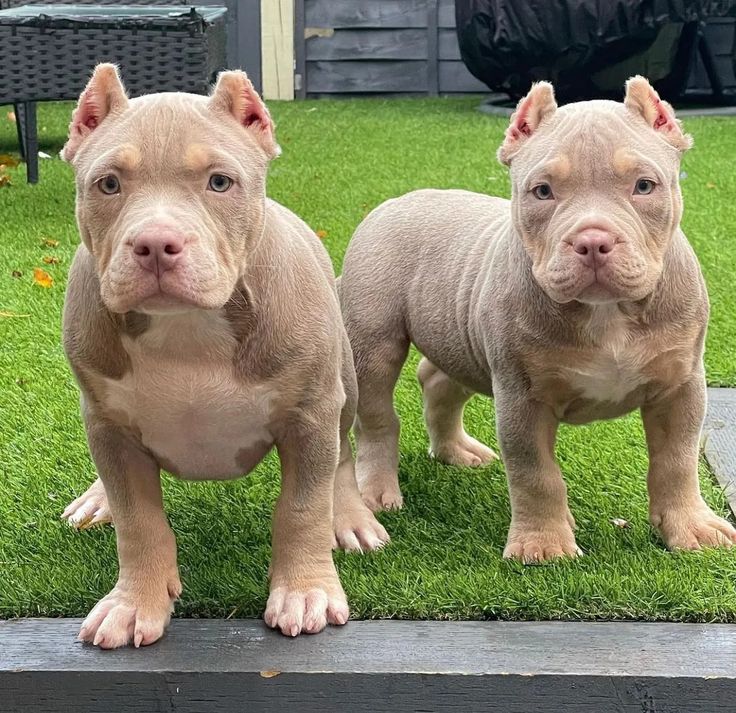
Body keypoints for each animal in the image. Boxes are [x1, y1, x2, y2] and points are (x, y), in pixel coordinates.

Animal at [60, 65, 388, 644]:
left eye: (219, 182)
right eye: (108, 184)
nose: (156, 243)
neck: (185, 330)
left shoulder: (309, 415)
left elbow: (302, 506)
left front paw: (304, 590)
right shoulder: (109, 424)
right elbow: (138, 520)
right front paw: (135, 601)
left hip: (342, 383)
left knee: (342, 457)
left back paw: (349, 517)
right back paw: (98, 498)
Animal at [340, 75, 736, 560]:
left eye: (644, 186)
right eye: (542, 192)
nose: (593, 241)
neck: (606, 313)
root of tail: (397, 202)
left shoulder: (680, 388)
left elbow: (677, 462)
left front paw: (690, 527)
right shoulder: (521, 398)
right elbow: (536, 473)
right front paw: (544, 544)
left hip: (461, 333)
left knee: (438, 381)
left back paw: (457, 452)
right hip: (374, 344)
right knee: (377, 418)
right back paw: (377, 491)